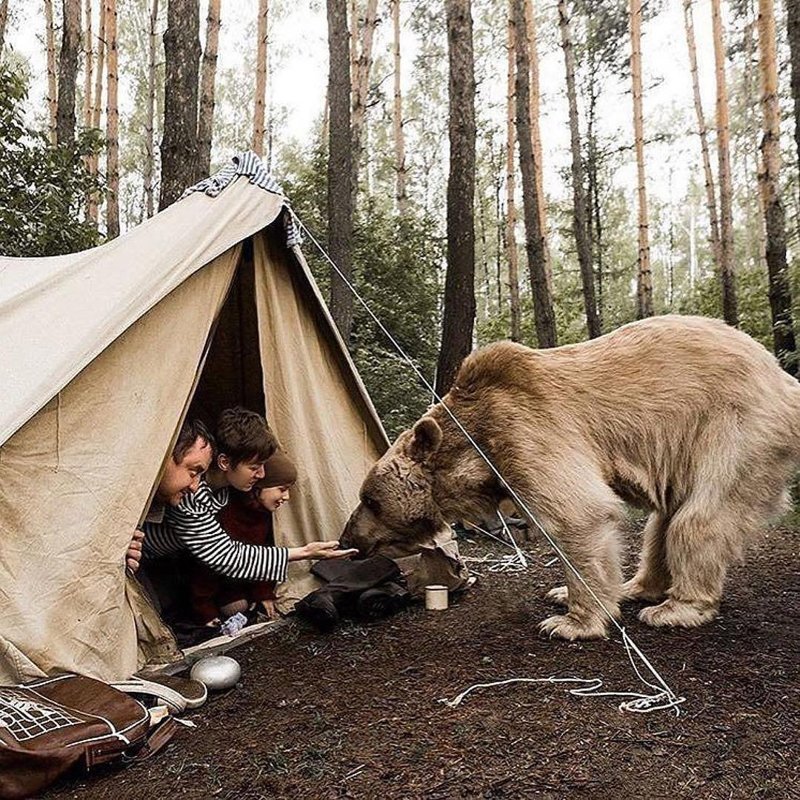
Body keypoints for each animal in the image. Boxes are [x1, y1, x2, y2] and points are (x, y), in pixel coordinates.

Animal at [342, 316, 800, 640]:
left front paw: (569, 621)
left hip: (734, 429)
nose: (349, 539)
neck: (475, 443)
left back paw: (675, 608)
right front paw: (562, 594)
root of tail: (784, 377)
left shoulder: (526, 430)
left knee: (699, 518)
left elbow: (579, 514)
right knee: (662, 522)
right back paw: (636, 587)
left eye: (369, 498)